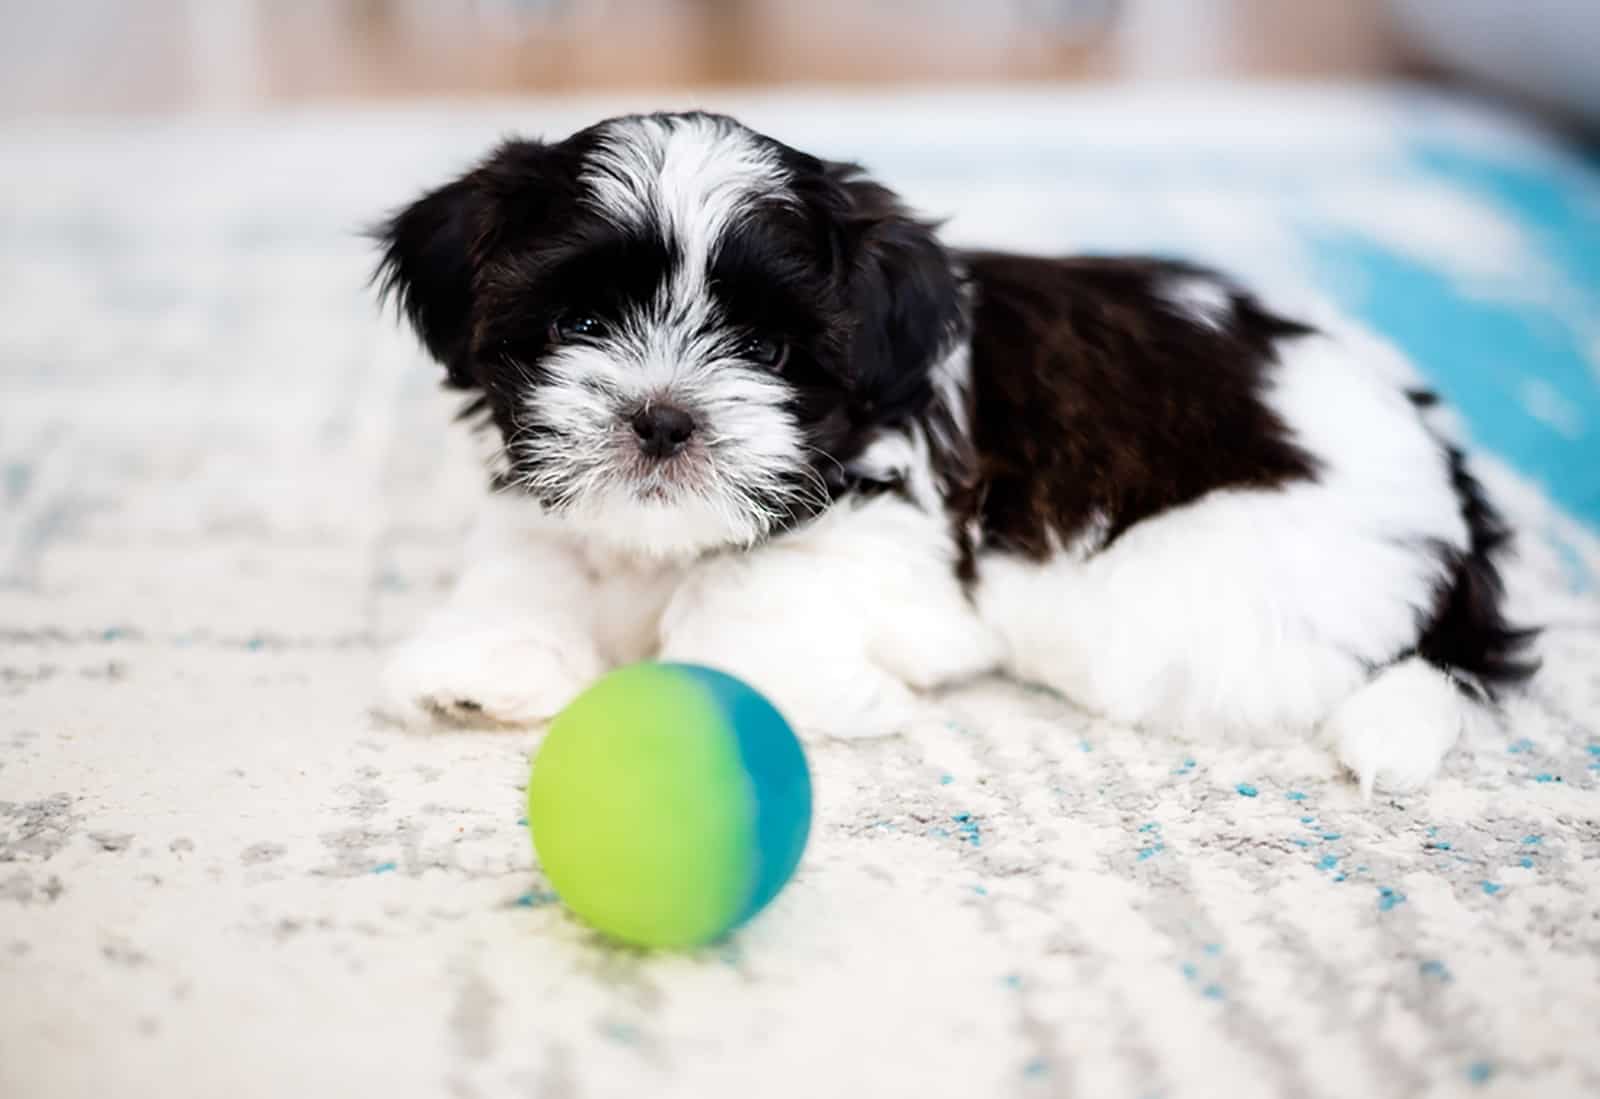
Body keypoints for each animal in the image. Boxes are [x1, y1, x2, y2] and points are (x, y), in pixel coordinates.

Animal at [374, 111, 1536, 796]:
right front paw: (486, 664)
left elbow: (731, 598)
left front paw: (844, 695)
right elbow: (533, 560)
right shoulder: (542, 500)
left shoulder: (898, 537)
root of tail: (1453, 486)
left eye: (767, 349)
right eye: (578, 323)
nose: (662, 418)